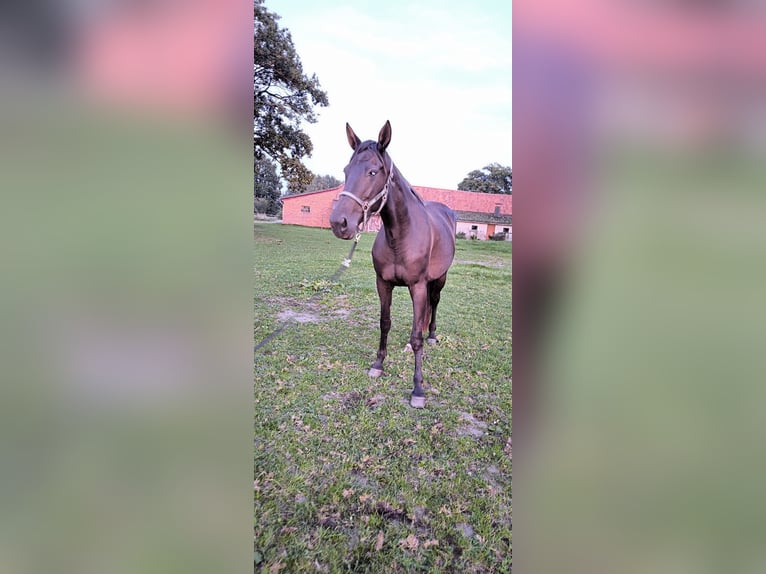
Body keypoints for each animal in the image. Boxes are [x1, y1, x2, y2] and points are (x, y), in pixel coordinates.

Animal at [328, 121, 456, 410]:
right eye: (346, 171)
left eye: (373, 171)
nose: (339, 223)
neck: (401, 235)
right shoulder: (383, 283)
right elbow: (384, 322)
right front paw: (378, 365)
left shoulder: (417, 285)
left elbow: (417, 336)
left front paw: (418, 389)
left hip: (439, 279)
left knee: (434, 304)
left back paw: (432, 335)